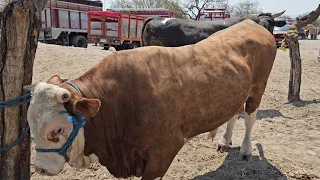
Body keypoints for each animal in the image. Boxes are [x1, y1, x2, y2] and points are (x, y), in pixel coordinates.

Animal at [23, 19, 276, 179]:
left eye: (58, 130)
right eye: (30, 125)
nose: (40, 169)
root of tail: (252, 23)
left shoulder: (165, 149)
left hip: (258, 88)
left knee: (250, 117)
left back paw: (245, 150)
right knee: (234, 112)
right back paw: (224, 141)